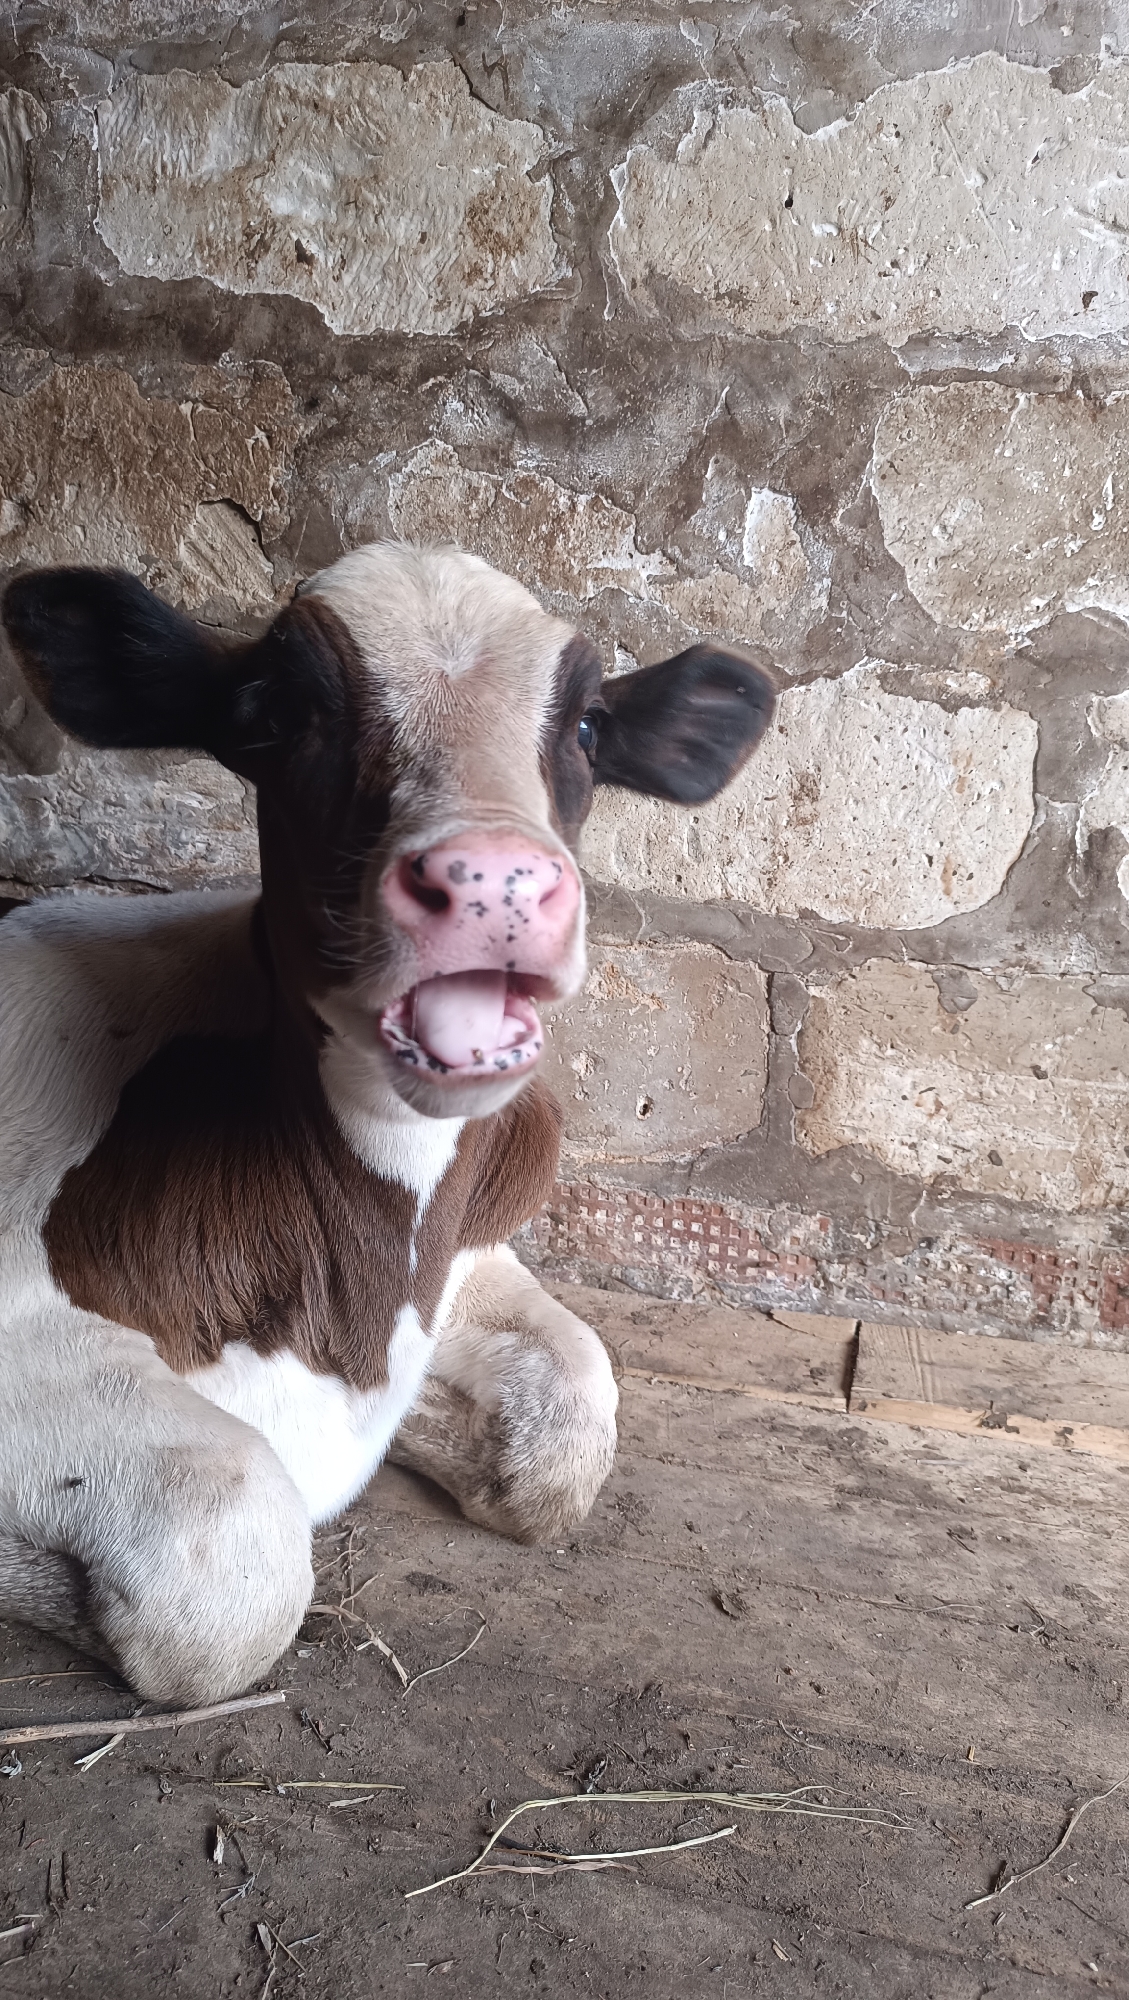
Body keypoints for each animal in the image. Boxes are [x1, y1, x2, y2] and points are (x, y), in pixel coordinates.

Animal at [0, 543, 775, 1706]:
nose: (494, 878)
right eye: (275, 711)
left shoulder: (462, 1255)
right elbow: (230, 1559)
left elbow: (563, 1433)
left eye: (589, 726)